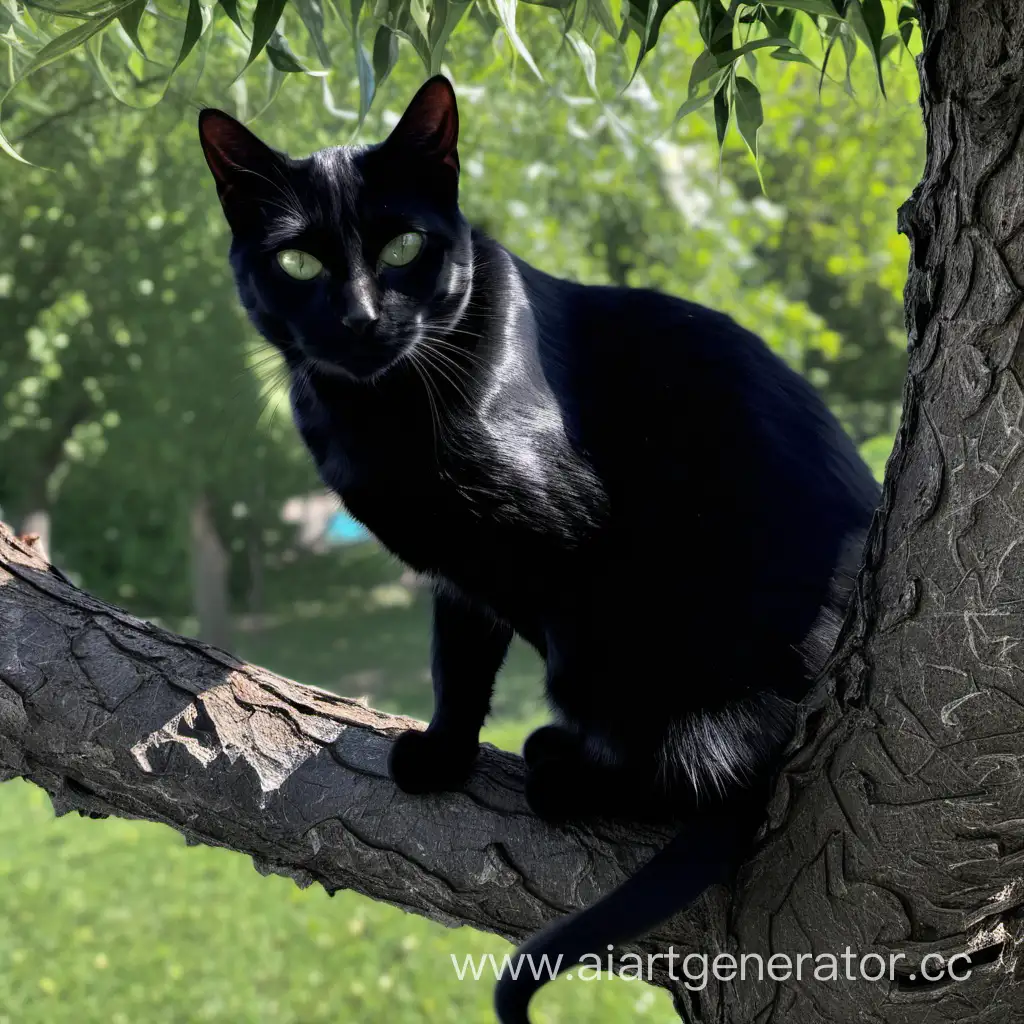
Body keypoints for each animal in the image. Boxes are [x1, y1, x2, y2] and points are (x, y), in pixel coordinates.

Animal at [197, 77, 880, 1024]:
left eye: (403, 246)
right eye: (299, 263)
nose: (362, 317)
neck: (378, 412)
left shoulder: (566, 548)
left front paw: (568, 762)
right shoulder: (459, 573)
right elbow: (458, 667)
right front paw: (443, 756)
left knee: (723, 764)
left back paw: (571, 769)